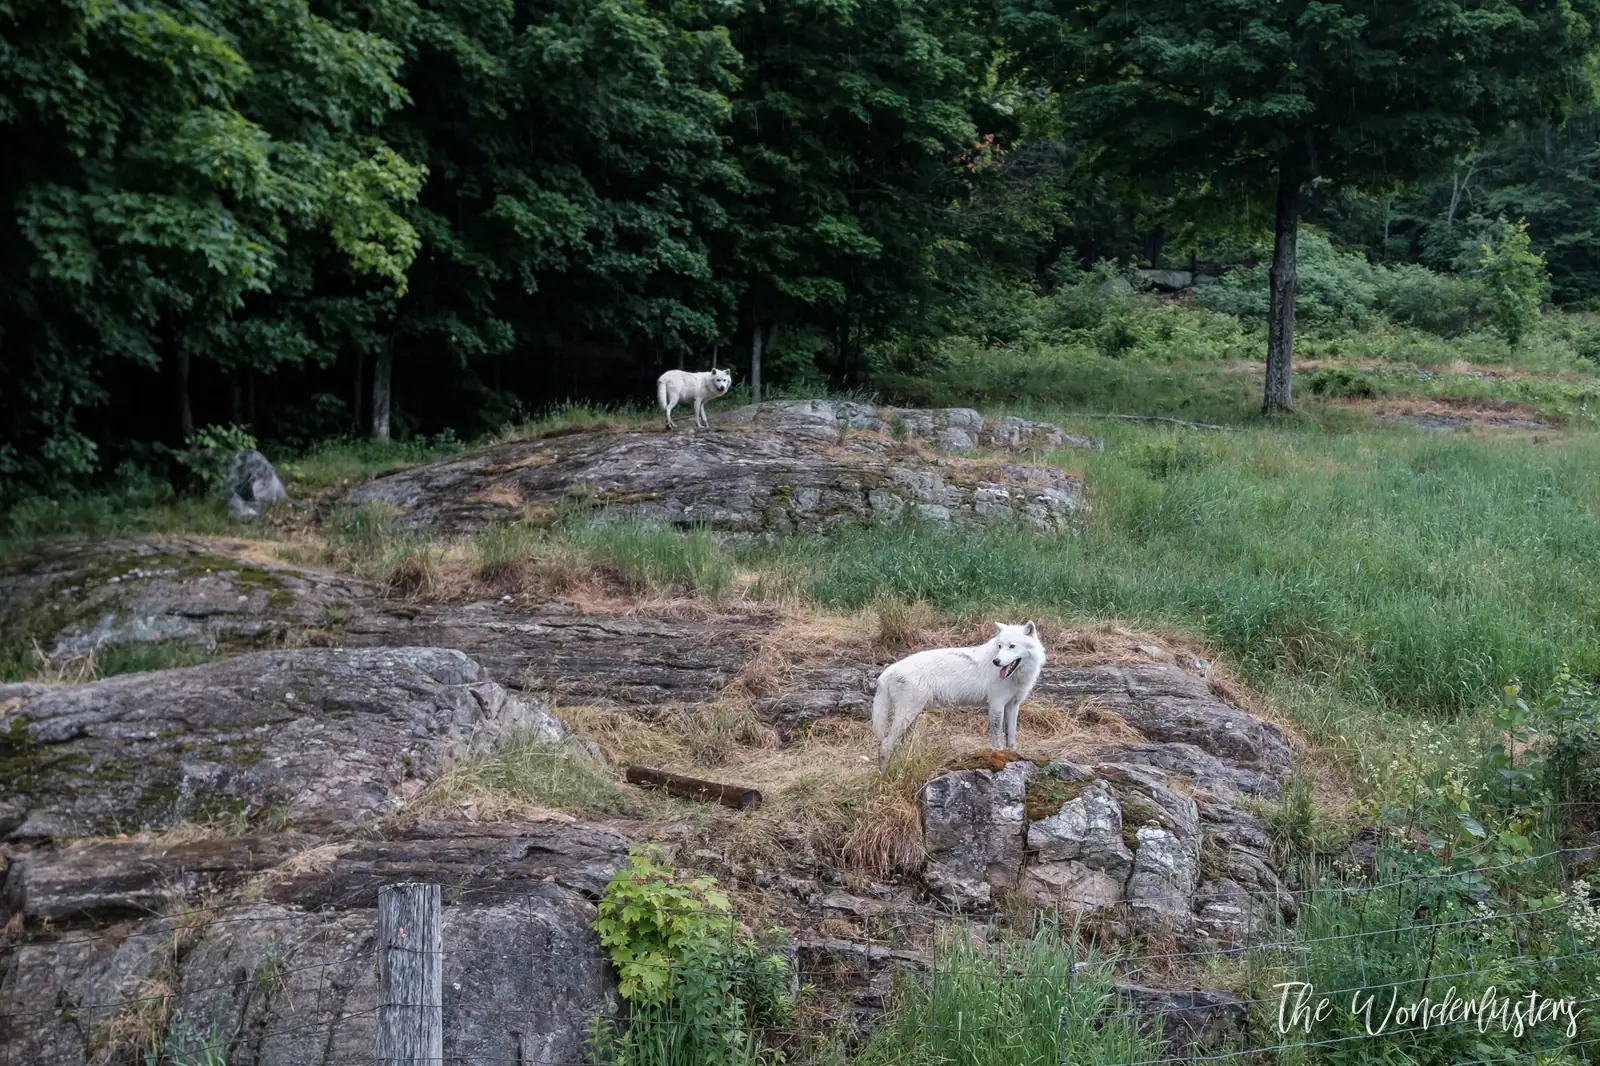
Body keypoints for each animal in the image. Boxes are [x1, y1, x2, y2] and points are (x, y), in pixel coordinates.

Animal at [871, 621, 1045, 767]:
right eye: (1000, 646)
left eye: (1012, 646)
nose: (996, 661)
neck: (1016, 676)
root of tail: (886, 671)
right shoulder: (996, 705)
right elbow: (997, 738)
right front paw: (999, 756)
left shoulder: (1013, 706)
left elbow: (1011, 736)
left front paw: (1012, 754)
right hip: (907, 716)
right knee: (885, 745)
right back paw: (884, 775)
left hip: (911, 719)